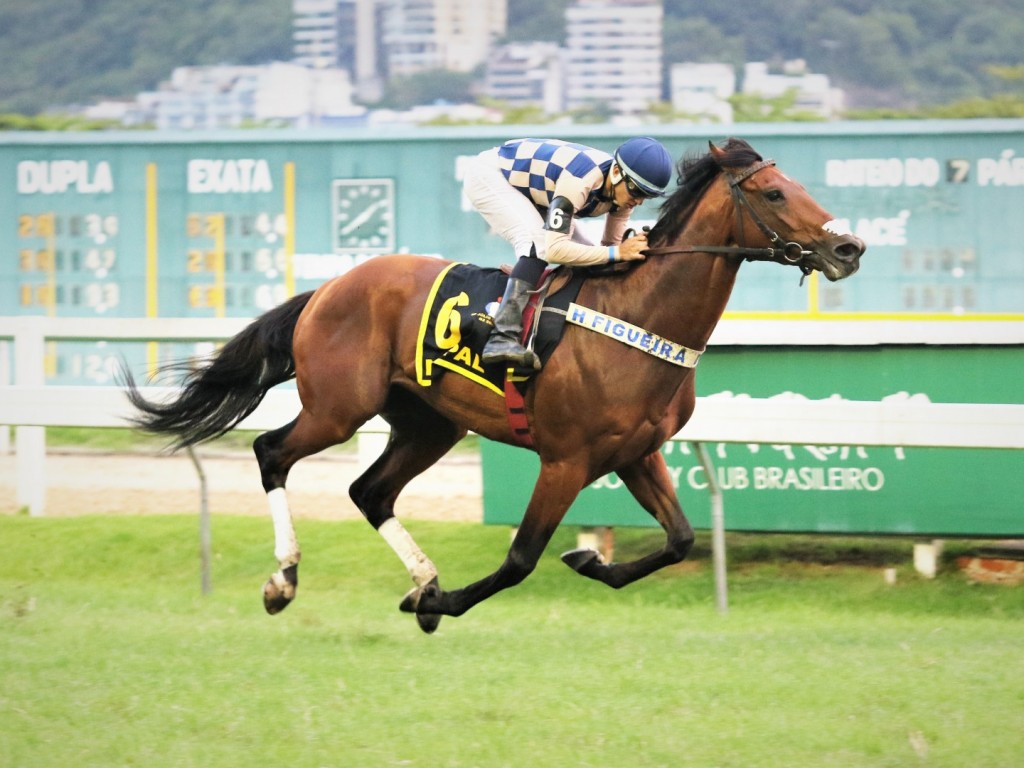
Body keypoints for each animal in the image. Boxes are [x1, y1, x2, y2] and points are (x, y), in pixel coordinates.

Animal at [123, 138, 868, 630]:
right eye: (775, 192)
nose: (849, 247)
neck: (638, 317)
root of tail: (330, 287)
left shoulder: (635, 453)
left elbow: (681, 539)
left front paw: (588, 563)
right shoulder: (566, 460)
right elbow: (520, 559)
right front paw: (440, 605)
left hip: (429, 423)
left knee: (370, 491)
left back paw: (418, 576)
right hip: (339, 407)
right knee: (272, 453)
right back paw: (285, 580)